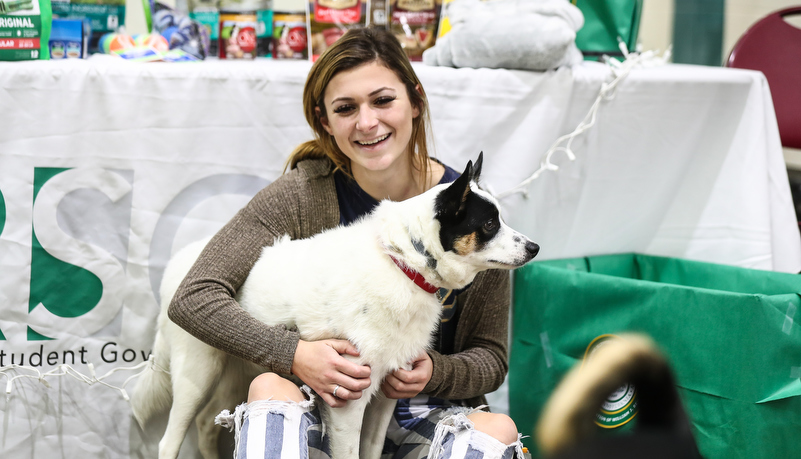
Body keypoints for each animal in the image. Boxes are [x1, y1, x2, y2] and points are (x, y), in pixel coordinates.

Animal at [133, 155, 536, 459]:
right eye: (489, 223)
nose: (534, 247)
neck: (401, 262)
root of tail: (182, 262)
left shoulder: (385, 396)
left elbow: (370, 451)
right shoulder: (348, 400)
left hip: (236, 371)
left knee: (205, 424)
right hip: (197, 372)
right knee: (170, 440)